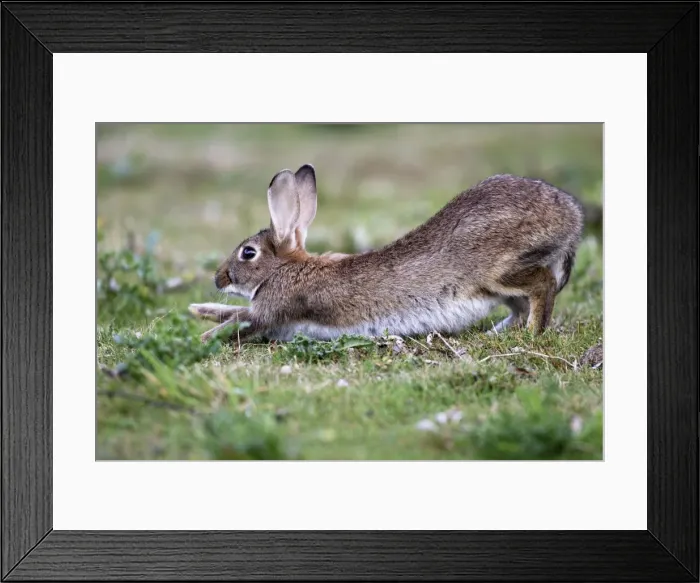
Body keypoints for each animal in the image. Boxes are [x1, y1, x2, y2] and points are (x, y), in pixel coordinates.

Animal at [190, 164, 584, 344]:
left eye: (248, 253)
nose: (218, 278)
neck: (285, 269)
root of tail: (572, 217)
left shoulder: (273, 310)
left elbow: (240, 322)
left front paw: (199, 341)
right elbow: (231, 313)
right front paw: (198, 310)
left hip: (499, 268)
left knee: (542, 286)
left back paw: (531, 335)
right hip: (498, 287)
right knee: (519, 306)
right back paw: (494, 335)